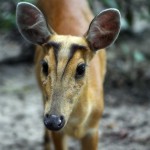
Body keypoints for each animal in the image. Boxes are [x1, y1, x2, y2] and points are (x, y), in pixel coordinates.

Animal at [15, 0, 120, 149]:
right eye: (45, 65)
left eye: (81, 68)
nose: (53, 120)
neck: (76, 124)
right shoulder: (58, 132)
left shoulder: (93, 129)